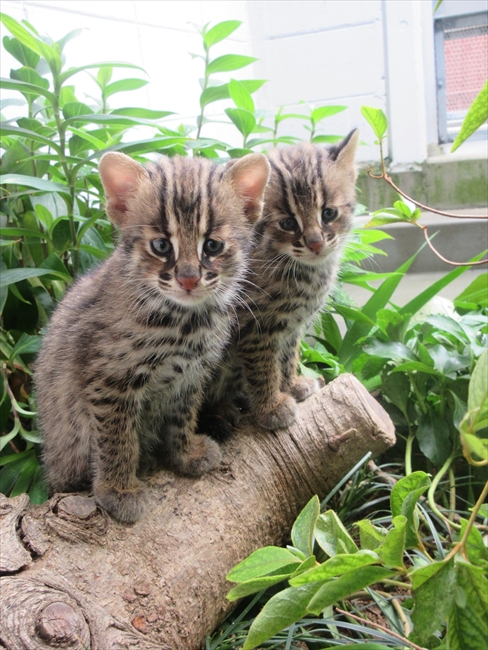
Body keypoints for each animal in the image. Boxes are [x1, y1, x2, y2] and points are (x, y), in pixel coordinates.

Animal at [35, 152, 268, 520]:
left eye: (212, 245)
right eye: (161, 245)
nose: (188, 279)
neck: (187, 322)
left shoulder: (191, 373)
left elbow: (183, 414)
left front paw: (186, 453)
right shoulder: (110, 380)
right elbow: (117, 439)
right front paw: (118, 490)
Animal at [202, 129, 358, 432]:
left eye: (329, 213)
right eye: (288, 223)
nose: (315, 244)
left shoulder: (291, 325)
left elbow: (287, 356)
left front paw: (291, 385)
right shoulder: (254, 324)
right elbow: (263, 367)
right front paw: (271, 406)